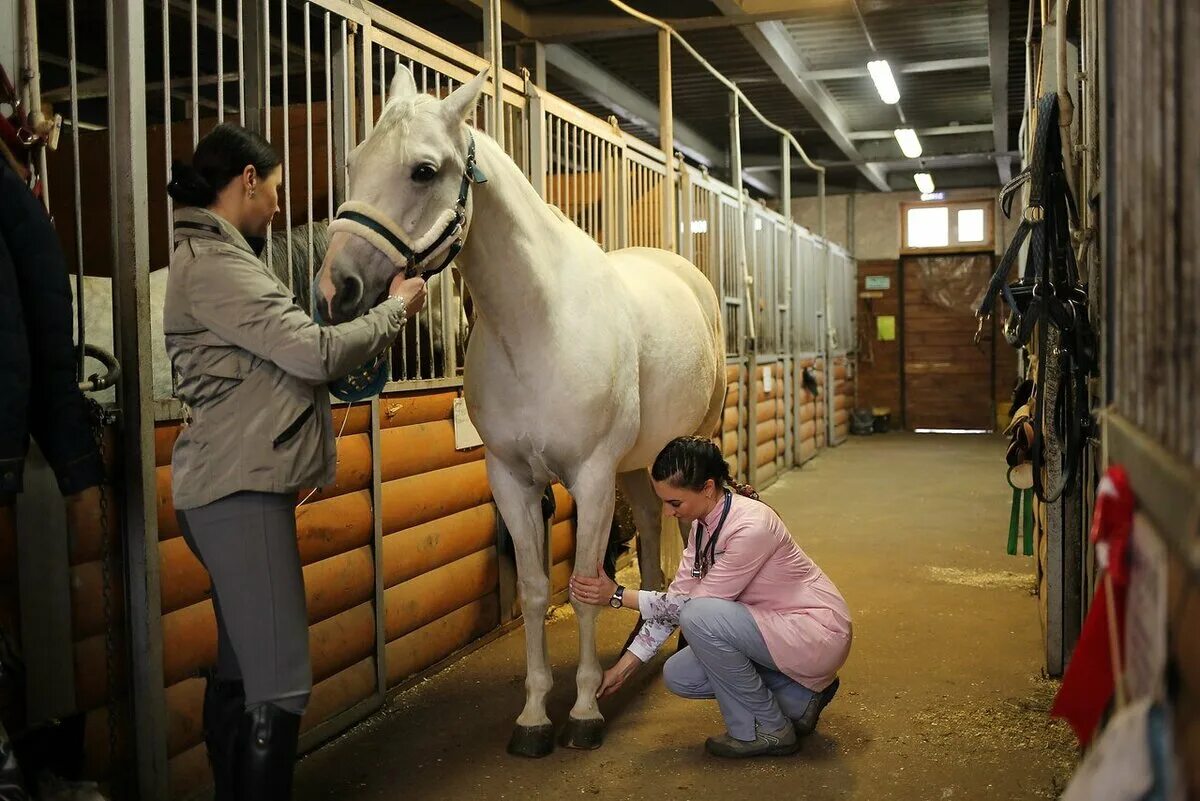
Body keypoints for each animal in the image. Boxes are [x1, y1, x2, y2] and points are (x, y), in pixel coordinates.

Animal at [316, 68, 720, 757]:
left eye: (424, 170)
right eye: (353, 161)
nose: (333, 289)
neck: (537, 325)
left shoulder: (591, 476)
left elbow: (583, 588)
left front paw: (584, 711)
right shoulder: (510, 478)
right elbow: (535, 592)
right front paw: (534, 717)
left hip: (697, 439)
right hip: (640, 463)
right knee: (649, 529)